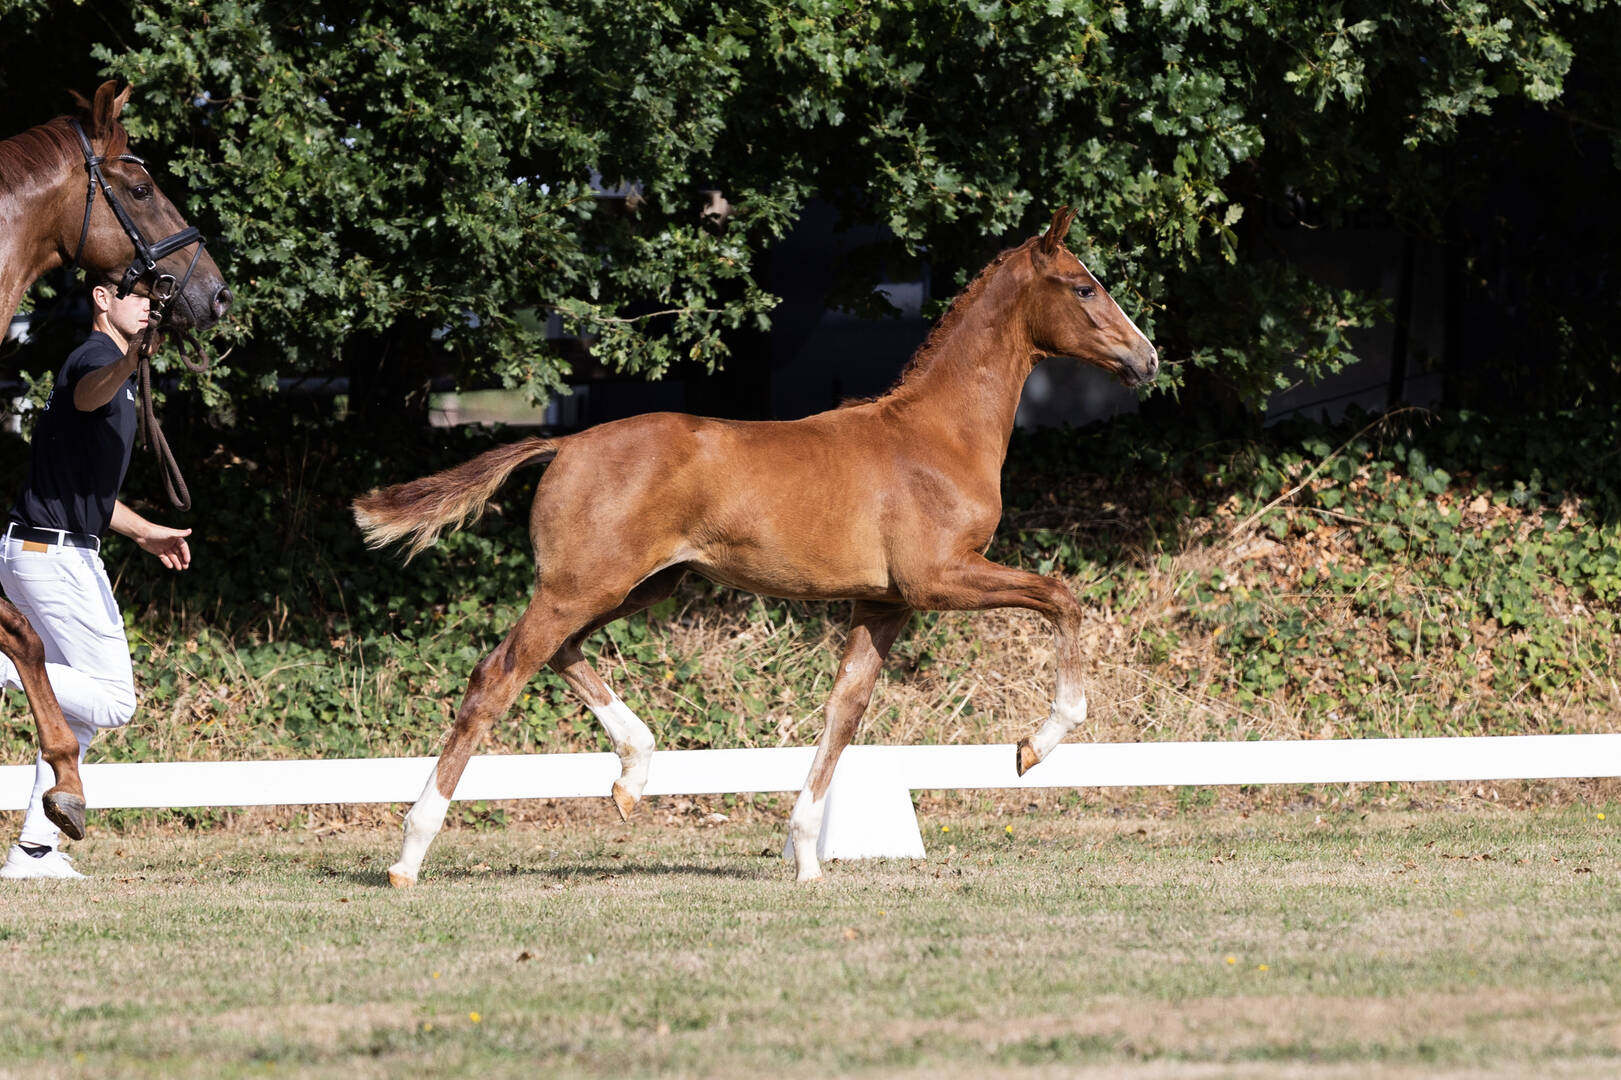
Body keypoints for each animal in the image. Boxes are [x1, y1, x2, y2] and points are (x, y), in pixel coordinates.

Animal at [354, 207, 1158, 885]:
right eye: (1084, 286)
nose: (1147, 360)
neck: (935, 436)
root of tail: (566, 443)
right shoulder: (940, 579)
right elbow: (1062, 597)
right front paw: (1033, 747)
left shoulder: (884, 604)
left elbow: (844, 711)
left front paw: (805, 857)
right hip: (583, 585)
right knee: (497, 674)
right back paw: (410, 855)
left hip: (638, 585)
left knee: (558, 653)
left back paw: (633, 776)